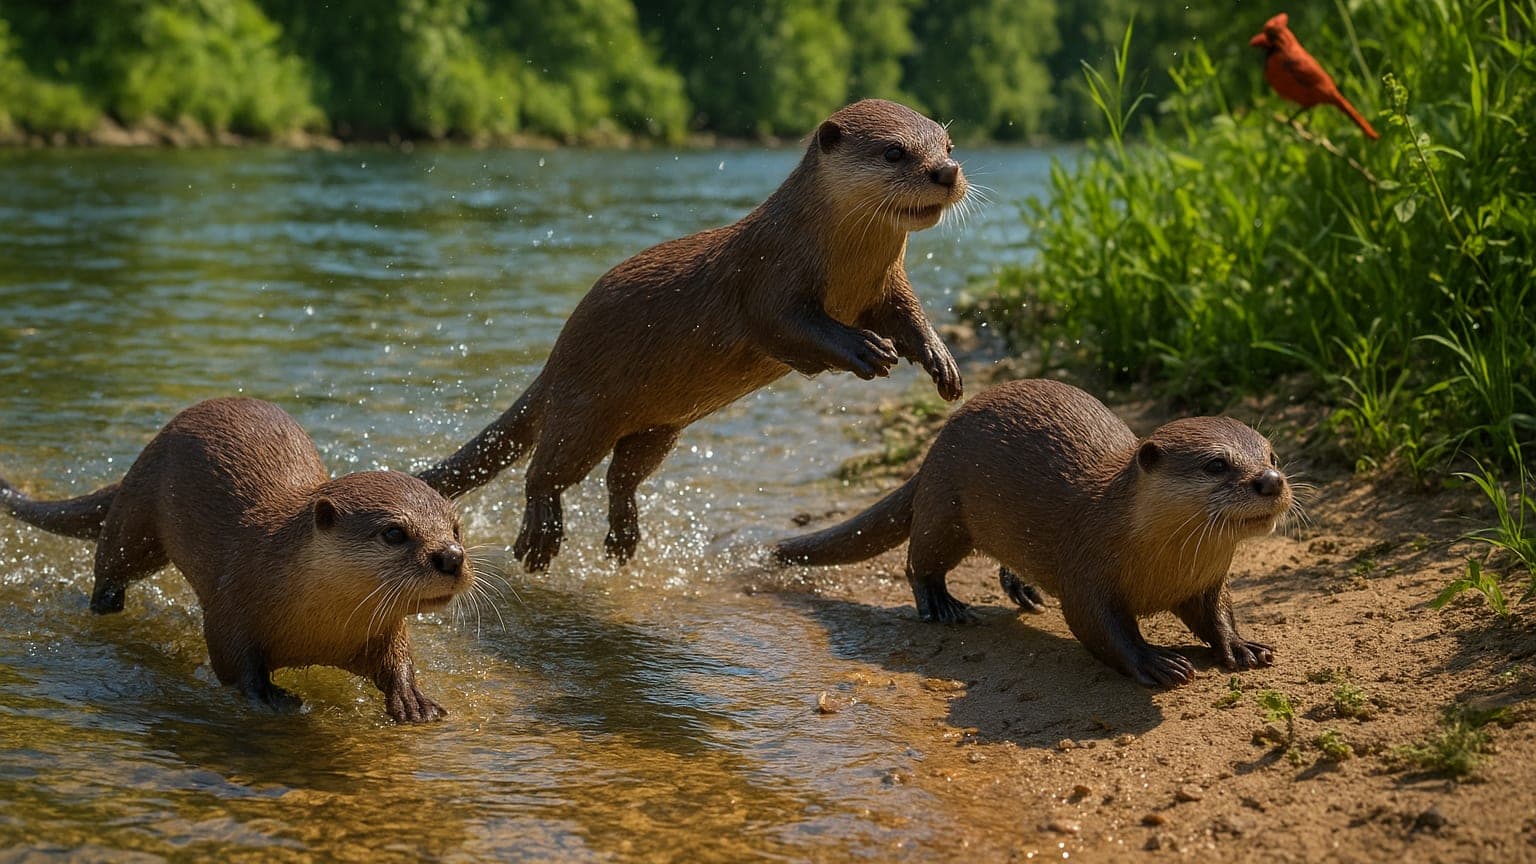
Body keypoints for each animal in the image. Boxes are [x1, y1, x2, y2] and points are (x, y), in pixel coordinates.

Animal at [0, 398, 472, 722]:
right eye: (394, 532)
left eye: (455, 529)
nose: (451, 557)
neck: (318, 629)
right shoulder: (231, 608)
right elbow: (235, 664)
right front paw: (269, 697)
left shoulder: (384, 629)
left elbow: (397, 660)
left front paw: (413, 699)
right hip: (136, 518)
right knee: (112, 564)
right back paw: (104, 607)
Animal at [418, 98, 968, 572]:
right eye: (894, 151)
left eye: (947, 145)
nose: (946, 171)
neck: (844, 266)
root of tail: (555, 358)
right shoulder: (767, 278)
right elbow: (786, 326)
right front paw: (865, 348)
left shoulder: (887, 286)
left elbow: (910, 317)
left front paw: (940, 359)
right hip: (584, 408)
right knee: (546, 471)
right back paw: (540, 537)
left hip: (659, 428)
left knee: (622, 476)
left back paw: (623, 538)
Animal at [774, 379, 1293, 687]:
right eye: (1217, 464)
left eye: (1272, 456)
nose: (1271, 481)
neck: (1161, 568)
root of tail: (934, 446)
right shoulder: (1087, 569)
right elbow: (1098, 627)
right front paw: (1155, 662)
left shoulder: (1206, 582)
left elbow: (1216, 614)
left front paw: (1241, 646)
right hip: (945, 508)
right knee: (919, 561)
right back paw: (944, 607)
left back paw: (1022, 588)